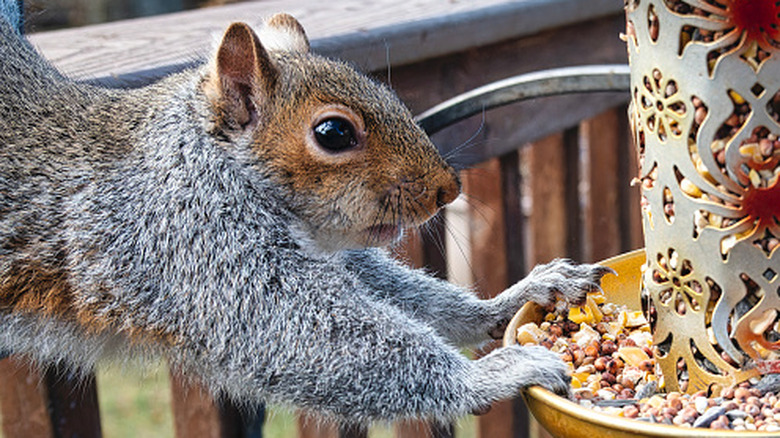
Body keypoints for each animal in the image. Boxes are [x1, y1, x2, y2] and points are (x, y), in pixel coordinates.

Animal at [0, 3, 613, 426]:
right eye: (333, 132)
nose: (447, 189)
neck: (210, 156)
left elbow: (388, 286)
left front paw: (518, 297)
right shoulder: (189, 240)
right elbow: (293, 331)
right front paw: (493, 373)